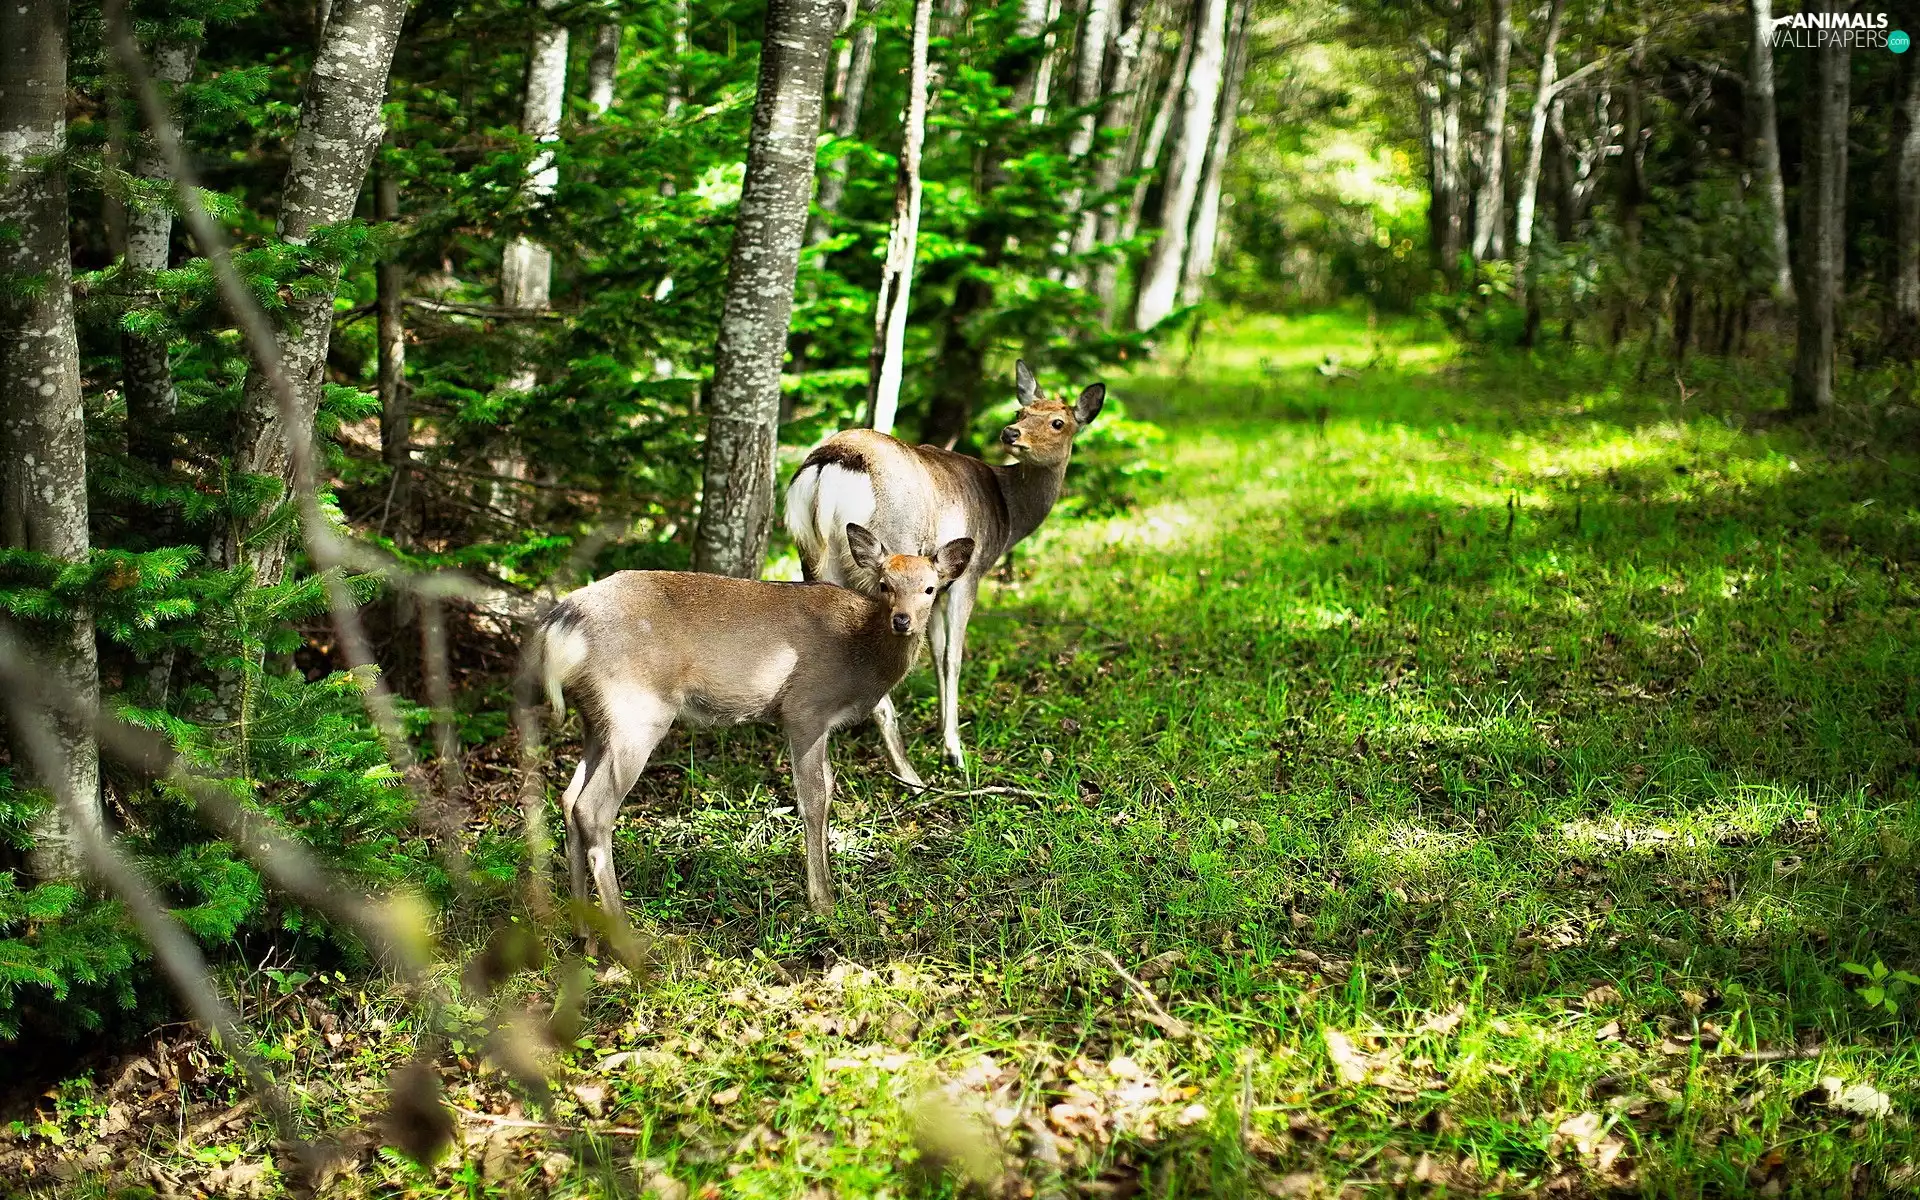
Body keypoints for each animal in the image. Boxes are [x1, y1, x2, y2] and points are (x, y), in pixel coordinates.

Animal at [536, 525, 974, 919]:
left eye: (929, 588)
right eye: (884, 585)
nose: (902, 620)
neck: (861, 656)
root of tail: (562, 623)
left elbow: (829, 790)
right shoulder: (805, 709)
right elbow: (814, 799)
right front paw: (822, 903)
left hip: (595, 717)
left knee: (569, 798)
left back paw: (584, 931)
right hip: (636, 708)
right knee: (593, 808)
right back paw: (624, 935)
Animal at [784, 360, 1104, 786]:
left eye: (1057, 422)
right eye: (1022, 411)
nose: (1010, 432)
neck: (1007, 513)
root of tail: (830, 464)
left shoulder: (934, 587)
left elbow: (936, 652)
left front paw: (940, 728)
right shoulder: (969, 573)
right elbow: (953, 654)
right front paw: (953, 748)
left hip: (811, 555)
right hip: (885, 555)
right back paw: (909, 774)